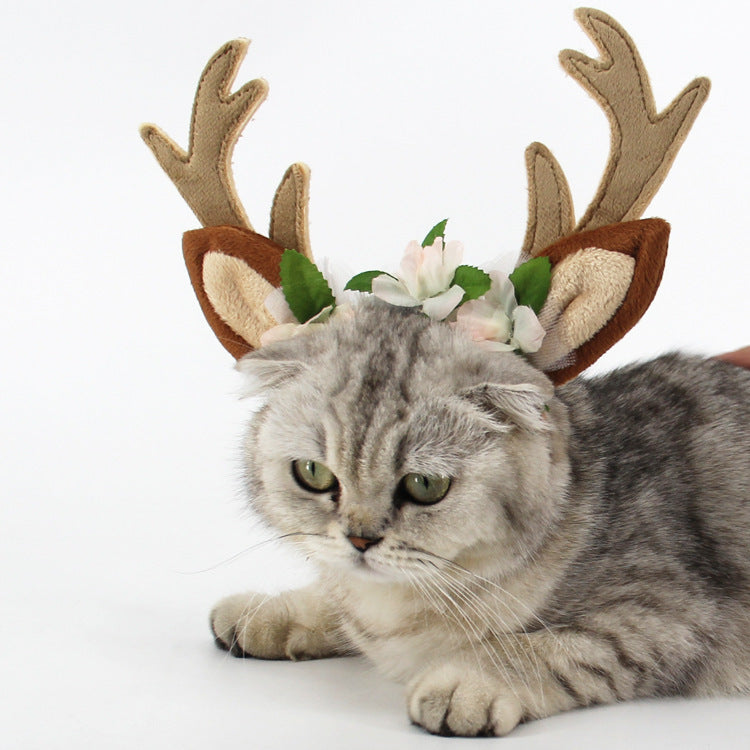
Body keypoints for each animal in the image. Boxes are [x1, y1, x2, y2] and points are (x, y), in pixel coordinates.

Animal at [210, 302, 750, 740]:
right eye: (314, 474)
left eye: (425, 485)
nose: (360, 539)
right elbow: (336, 604)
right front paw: (268, 611)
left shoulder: (667, 613)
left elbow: (547, 647)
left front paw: (467, 684)